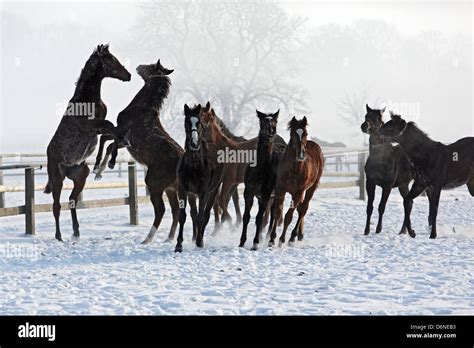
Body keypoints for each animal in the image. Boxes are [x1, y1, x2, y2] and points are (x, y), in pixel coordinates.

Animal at [44, 44, 131, 242]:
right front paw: (109, 161)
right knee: (56, 206)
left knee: (72, 200)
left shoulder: (96, 128)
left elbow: (111, 132)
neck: (86, 99)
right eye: (110, 59)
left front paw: (103, 164)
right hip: (57, 178)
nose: (128, 75)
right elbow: (111, 127)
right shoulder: (89, 126)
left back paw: (76, 232)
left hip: (80, 176)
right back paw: (59, 236)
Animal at [175, 104, 225, 253]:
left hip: (213, 191)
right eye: (187, 122)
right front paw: (178, 244)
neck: (195, 164)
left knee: (206, 214)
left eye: (199, 123)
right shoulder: (183, 190)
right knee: (193, 213)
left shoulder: (204, 192)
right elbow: (183, 216)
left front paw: (199, 241)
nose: (194, 143)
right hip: (192, 194)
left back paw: (200, 238)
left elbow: (201, 216)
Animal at [268, 115, 324, 246]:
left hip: (310, 189)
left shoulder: (298, 192)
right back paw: (299, 235)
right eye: (293, 133)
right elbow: (277, 213)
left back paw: (293, 236)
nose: (301, 154)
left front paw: (282, 239)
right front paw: (272, 239)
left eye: (305, 133)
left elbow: (289, 216)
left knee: (303, 209)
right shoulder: (280, 190)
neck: (293, 169)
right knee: (300, 209)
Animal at [362, 104, 412, 235]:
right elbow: (369, 207)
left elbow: (381, 207)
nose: (364, 126)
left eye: (378, 118)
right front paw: (366, 230)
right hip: (403, 184)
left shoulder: (387, 186)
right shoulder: (370, 182)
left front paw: (378, 229)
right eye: (366, 116)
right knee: (408, 203)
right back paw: (403, 230)